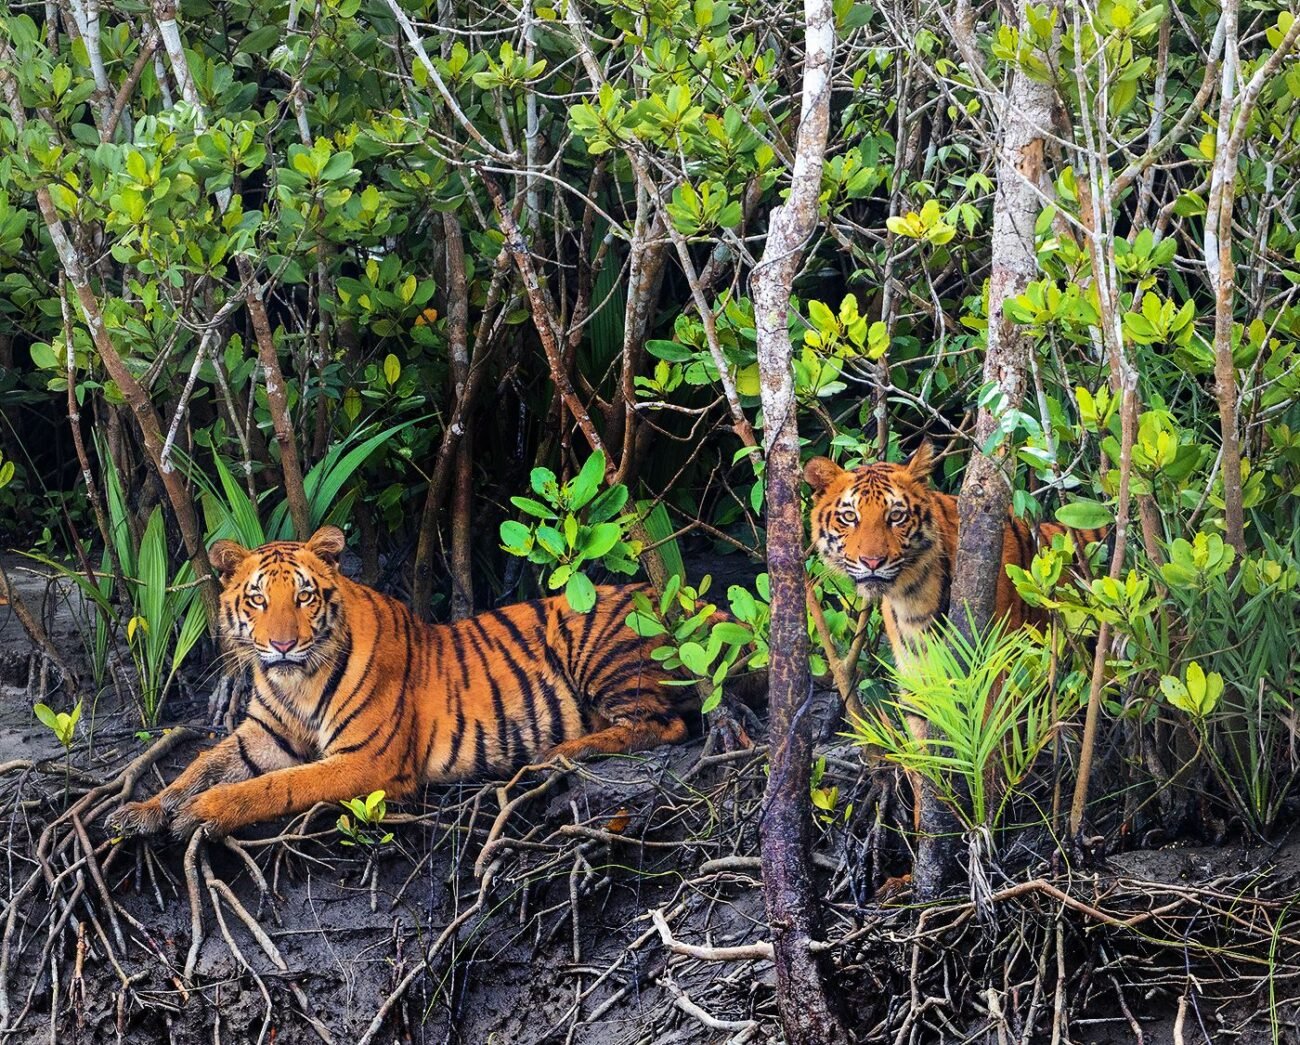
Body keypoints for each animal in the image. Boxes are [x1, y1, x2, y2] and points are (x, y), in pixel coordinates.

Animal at [108, 527, 684, 840]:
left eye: (303, 597)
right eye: (257, 600)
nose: (282, 645)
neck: (295, 683)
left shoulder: (368, 759)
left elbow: (276, 785)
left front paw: (202, 813)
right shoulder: (263, 735)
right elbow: (202, 765)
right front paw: (142, 811)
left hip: (591, 640)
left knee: (664, 724)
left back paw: (561, 751)